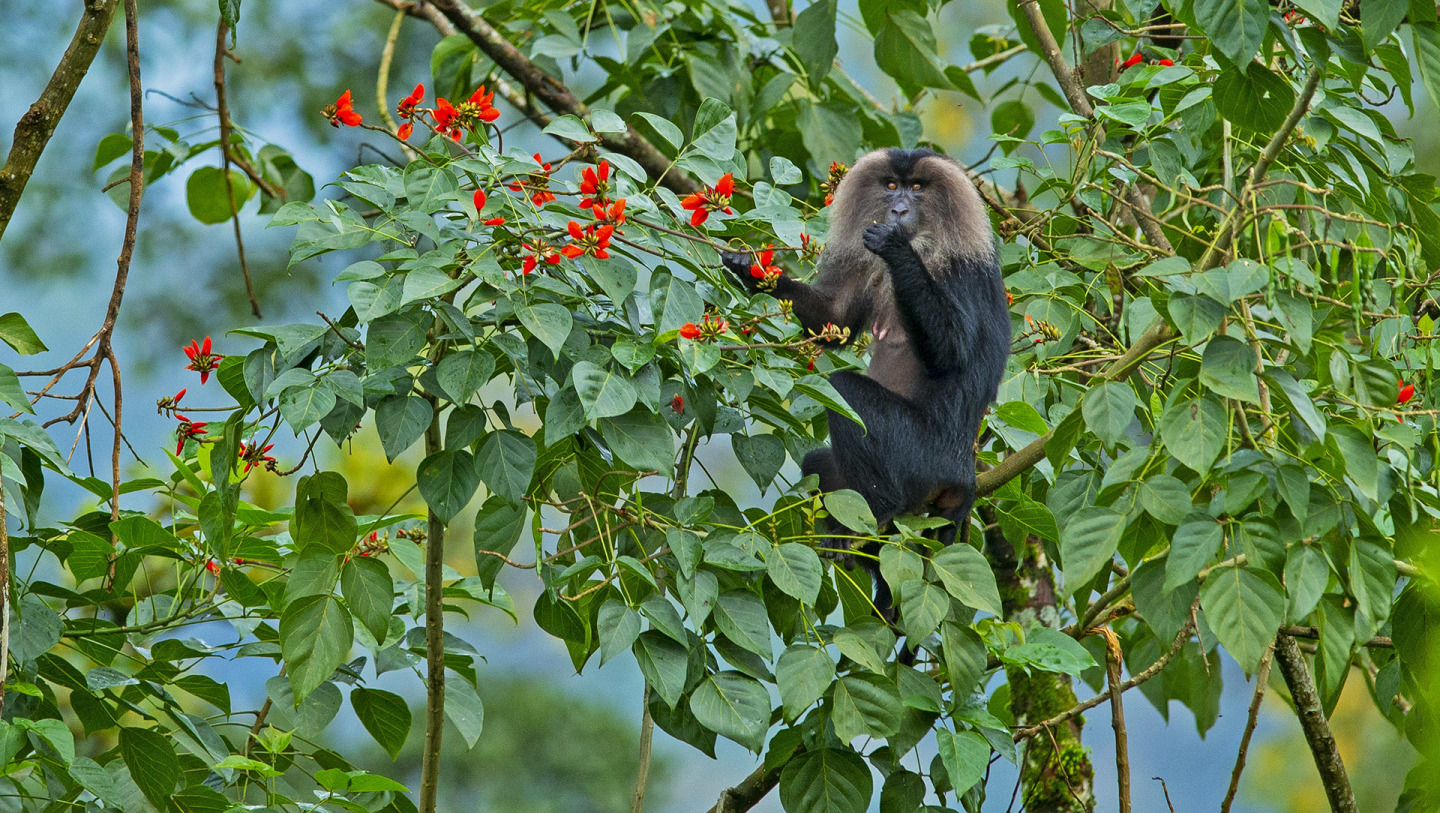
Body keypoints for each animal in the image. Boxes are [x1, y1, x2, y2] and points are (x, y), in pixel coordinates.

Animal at [722, 148, 1011, 623]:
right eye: (892, 187)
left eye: (917, 188)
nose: (899, 210)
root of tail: (963, 477)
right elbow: (833, 320)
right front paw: (751, 269)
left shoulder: (959, 271)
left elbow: (952, 350)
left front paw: (896, 248)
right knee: (820, 462)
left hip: (920, 457)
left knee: (844, 389)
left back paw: (880, 514)